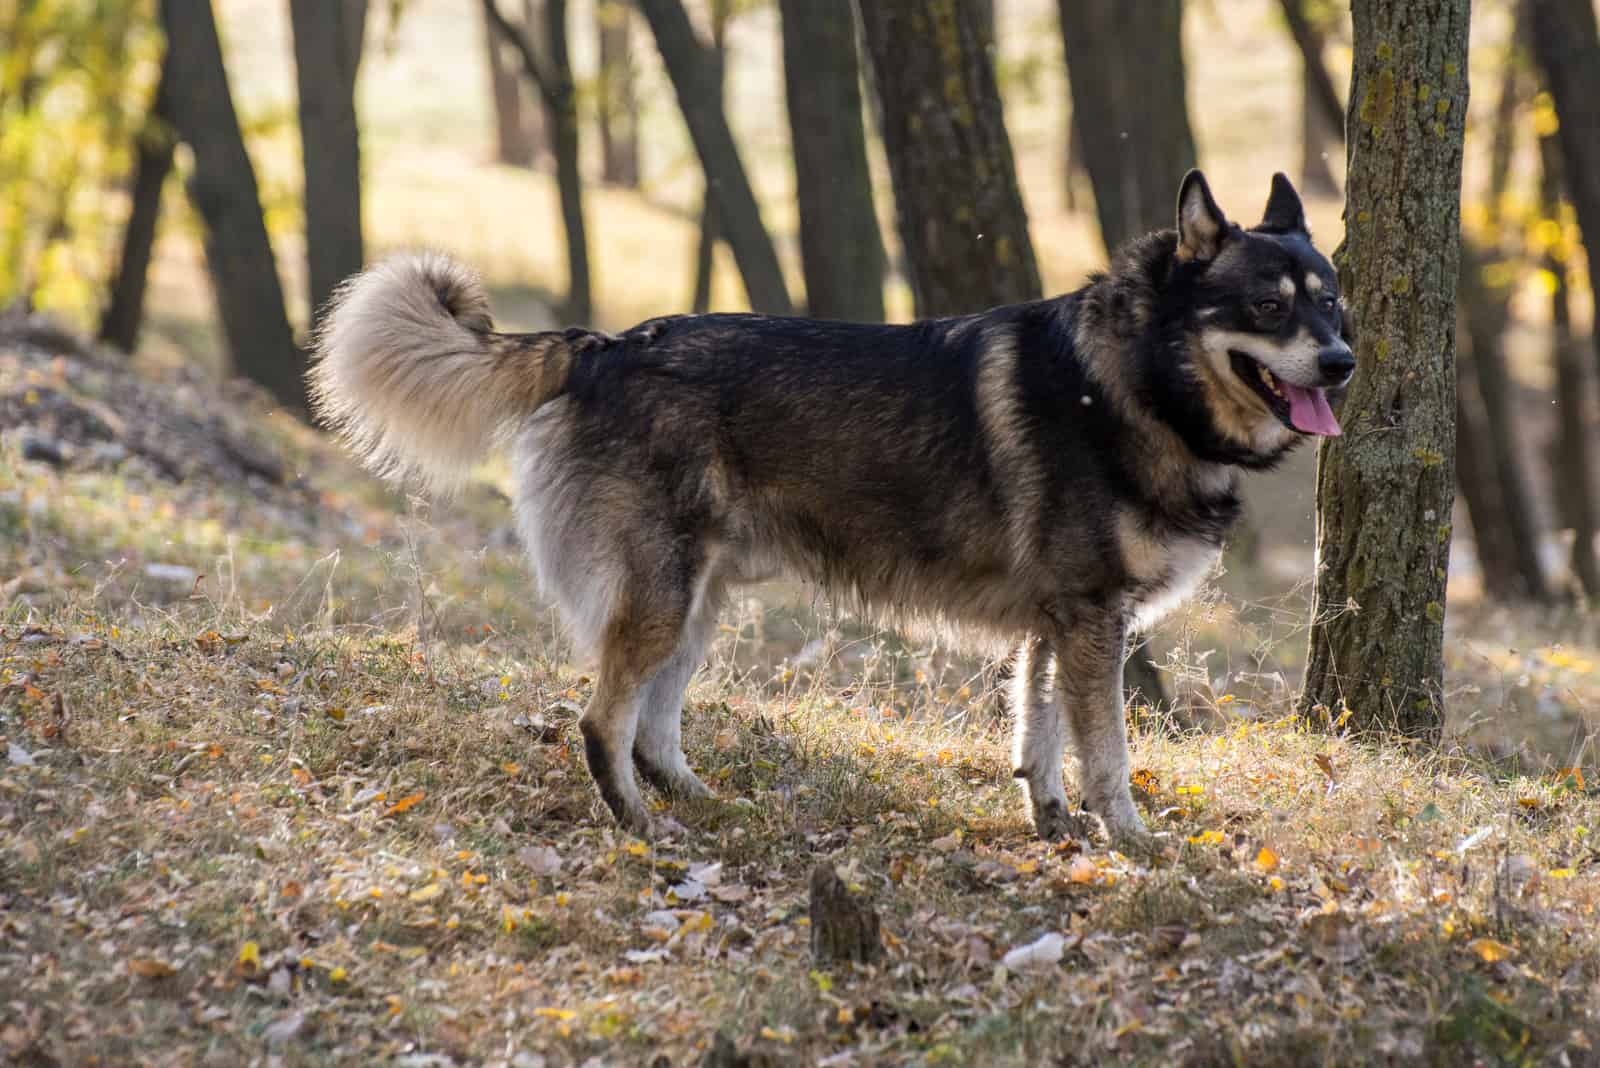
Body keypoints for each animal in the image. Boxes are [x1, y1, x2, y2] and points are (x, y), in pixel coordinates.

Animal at [308, 173, 1350, 844]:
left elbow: (1038, 733)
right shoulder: (1092, 623)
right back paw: (641, 828)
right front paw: (1128, 838)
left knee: (653, 726)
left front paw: (1051, 822)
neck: (1128, 381)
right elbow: (1107, 751)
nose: (1342, 363)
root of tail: (606, 344)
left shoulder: (1055, 627)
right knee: (602, 723)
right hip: (661, 600)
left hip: (697, 605)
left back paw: (705, 803)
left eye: (1332, 304)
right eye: (1267, 305)